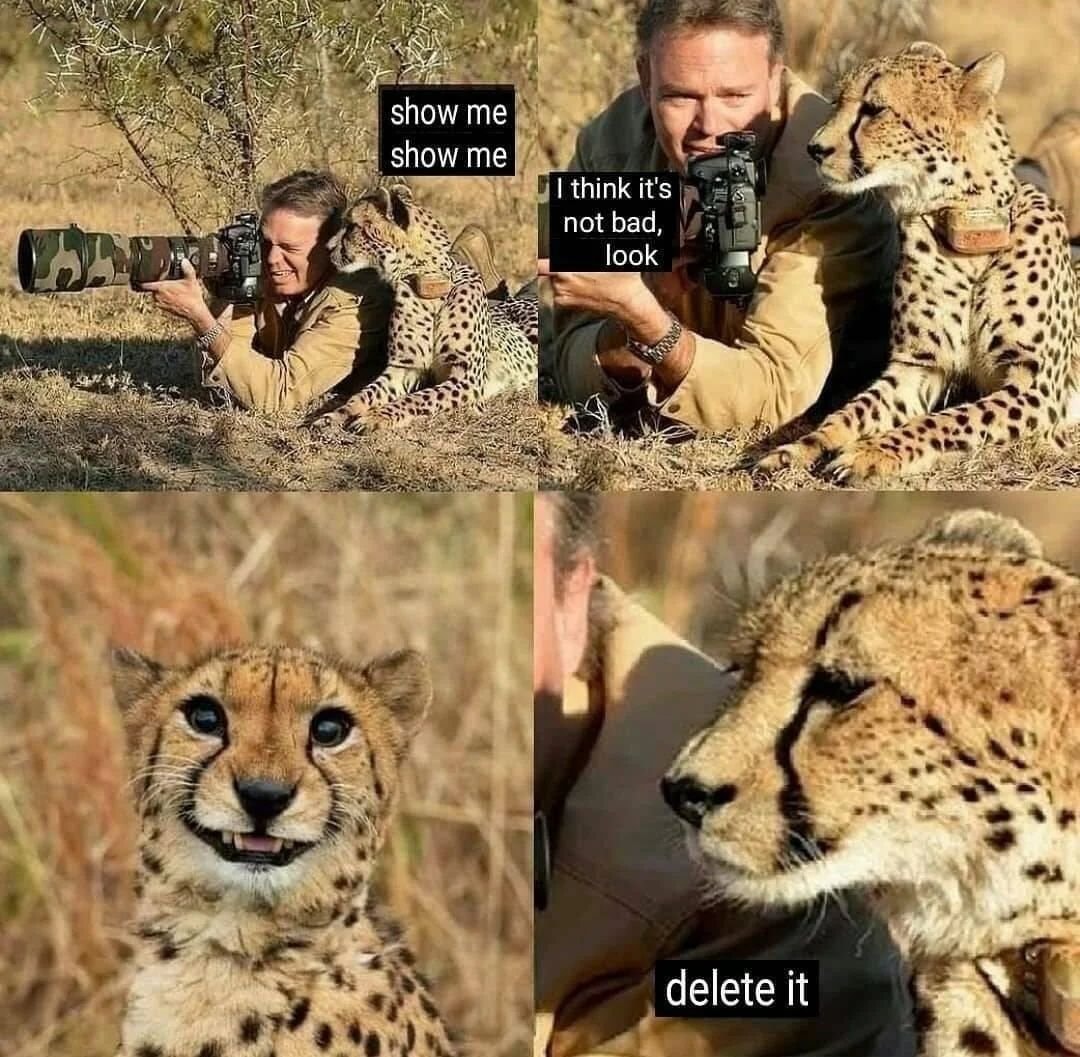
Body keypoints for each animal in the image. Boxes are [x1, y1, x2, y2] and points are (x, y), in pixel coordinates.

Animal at [314, 185, 536, 433]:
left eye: (353, 226)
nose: (327, 248)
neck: (427, 287)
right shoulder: (403, 368)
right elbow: (364, 394)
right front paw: (334, 415)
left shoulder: (467, 379)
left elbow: (418, 398)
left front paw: (376, 416)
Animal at [758, 42, 1080, 483]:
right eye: (838, 101)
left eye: (874, 109)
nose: (815, 149)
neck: (964, 230)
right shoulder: (917, 368)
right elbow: (851, 412)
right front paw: (797, 449)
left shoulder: (1037, 389)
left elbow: (949, 421)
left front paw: (871, 452)